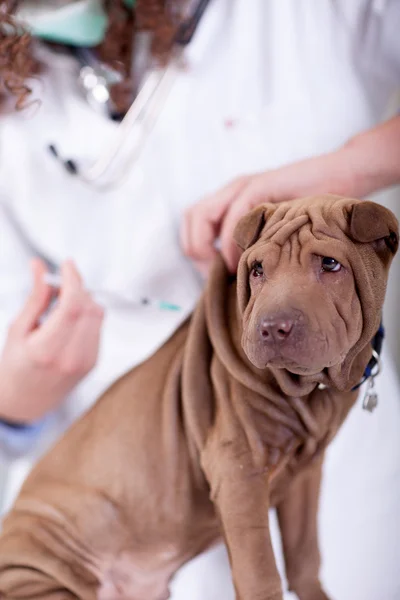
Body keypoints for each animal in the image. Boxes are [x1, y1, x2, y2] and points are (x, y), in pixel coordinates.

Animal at [0, 196, 396, 600]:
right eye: (257, 270)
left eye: (330, 264)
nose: (272, 328)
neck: (312, 391)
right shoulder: (237, 469)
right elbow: (260, 570)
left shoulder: (306, 473)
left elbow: (304, 554)